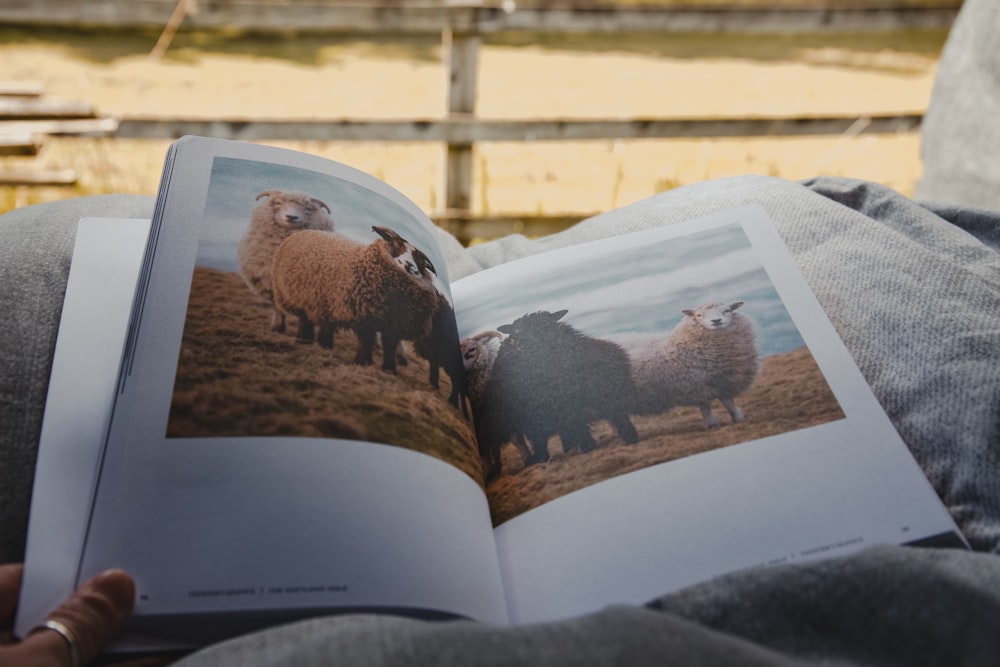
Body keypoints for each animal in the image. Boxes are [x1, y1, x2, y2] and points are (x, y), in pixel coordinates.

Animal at [238, 188, 336, 334]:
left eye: (308, 208)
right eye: (278, 202)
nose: (291, 217)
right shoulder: (272, 285)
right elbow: (278, 307)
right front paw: (277, 327)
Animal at [270, 228, 438, 376]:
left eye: (420, 260)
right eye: (395, 244)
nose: (411, 267)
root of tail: (303, 231)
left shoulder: (394, 324)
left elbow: (390, 346)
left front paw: (389, 370)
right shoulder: (364, 316)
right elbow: (366, 339)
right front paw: (363, 362)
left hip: (323, 302)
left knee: (320, 322)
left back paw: (322, 344)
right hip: (296, 296)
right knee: (305, 319)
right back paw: (304, 341)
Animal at [628, 302, 760, 428]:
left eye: (727, 310)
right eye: (699, 315)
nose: (716, 321)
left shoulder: (722, 382)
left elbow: (728, 402)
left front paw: (738, 417)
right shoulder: (696, 386)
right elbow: (706, 407)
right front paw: (711, 424)